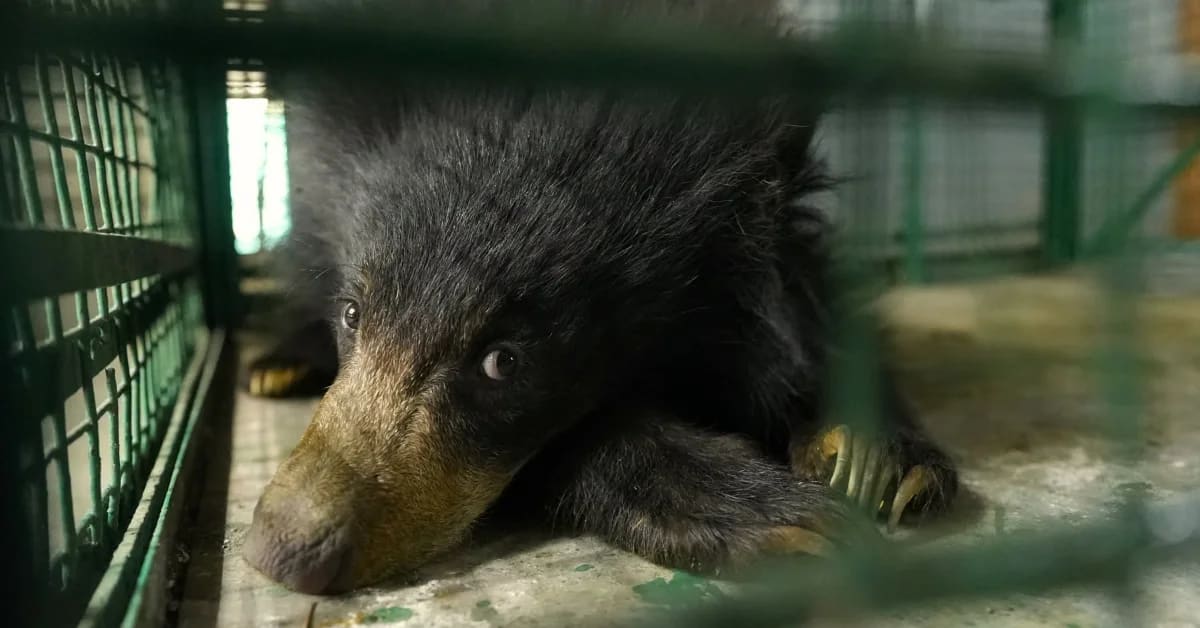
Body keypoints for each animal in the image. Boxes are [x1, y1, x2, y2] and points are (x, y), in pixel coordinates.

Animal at [241, 0, 959, 595]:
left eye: (504, 362)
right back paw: (275, 366)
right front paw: (765, 514)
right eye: (353, 314)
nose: (284, 551)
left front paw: (871, 456)